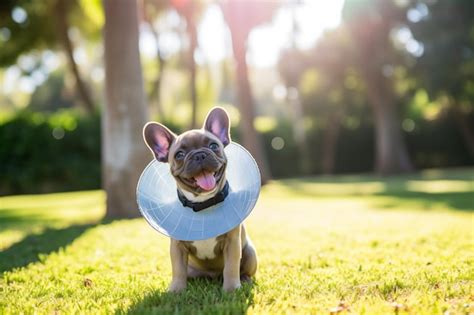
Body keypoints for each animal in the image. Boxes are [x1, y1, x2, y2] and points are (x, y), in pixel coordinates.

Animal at [143, 107, 258, 292]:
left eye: (213, 145)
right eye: (179, 154)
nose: (199, 155)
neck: (203, 204)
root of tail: (213, 277)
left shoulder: (232, 243)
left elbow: (231, 266)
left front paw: (231, 289)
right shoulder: (177, 247)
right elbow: (178, 269)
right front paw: (176, 291)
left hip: (250, 252)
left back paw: (244, 280)